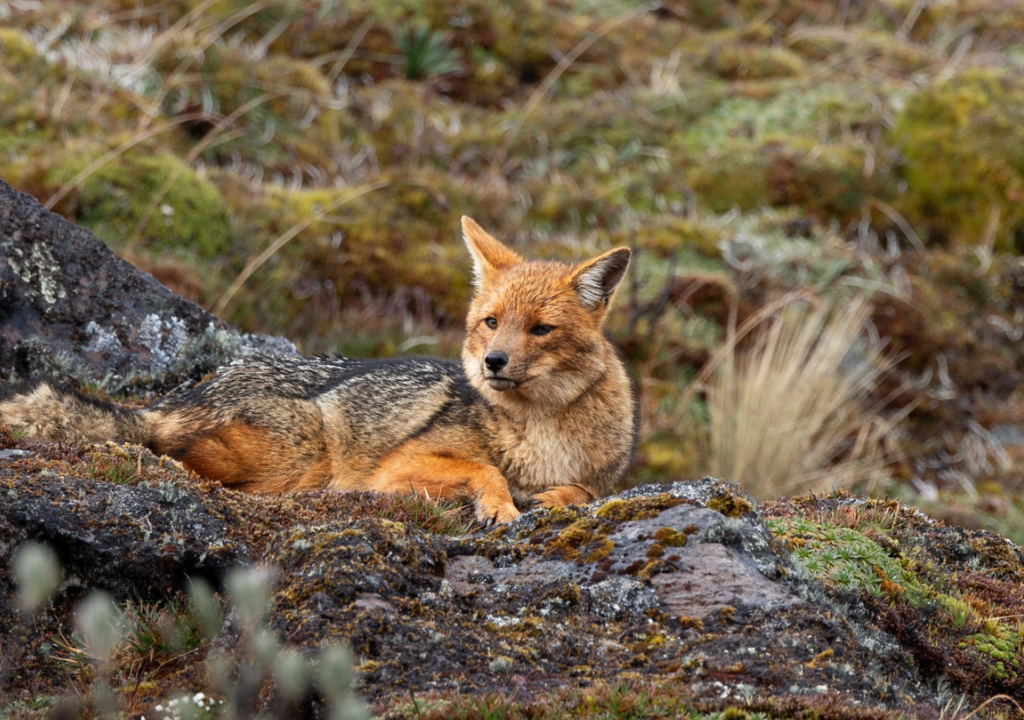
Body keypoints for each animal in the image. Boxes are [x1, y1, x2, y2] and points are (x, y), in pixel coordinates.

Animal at [0, 217, 636, 524]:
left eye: (540, 329)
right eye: (491, 322)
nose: (492, 362)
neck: (542, 432)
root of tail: (190, 391)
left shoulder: (598, 478)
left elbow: (581, 491)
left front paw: (551, 498)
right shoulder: (393, 471)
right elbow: (485, 470)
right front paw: (503, 506)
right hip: (305, 452)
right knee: (175, 455)